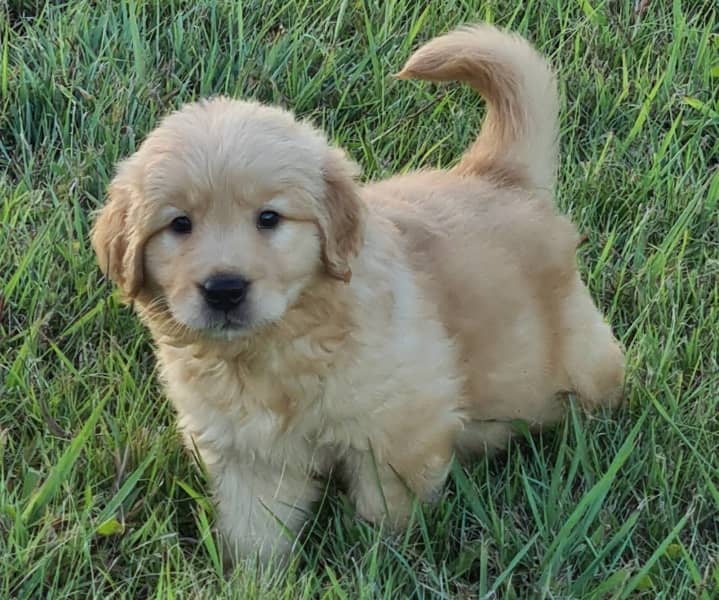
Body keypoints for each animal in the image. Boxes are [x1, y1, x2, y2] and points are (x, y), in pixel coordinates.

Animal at [93, 24, 624, 568]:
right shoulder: (249, 453)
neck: (274, 346)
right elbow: (255, 528)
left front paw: (375, 562)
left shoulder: (398, 431)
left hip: (577, 364)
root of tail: (495, 174)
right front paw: (257, 575)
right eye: (180, 224)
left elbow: (385, 512)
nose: (224, 289)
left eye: (269, 218)